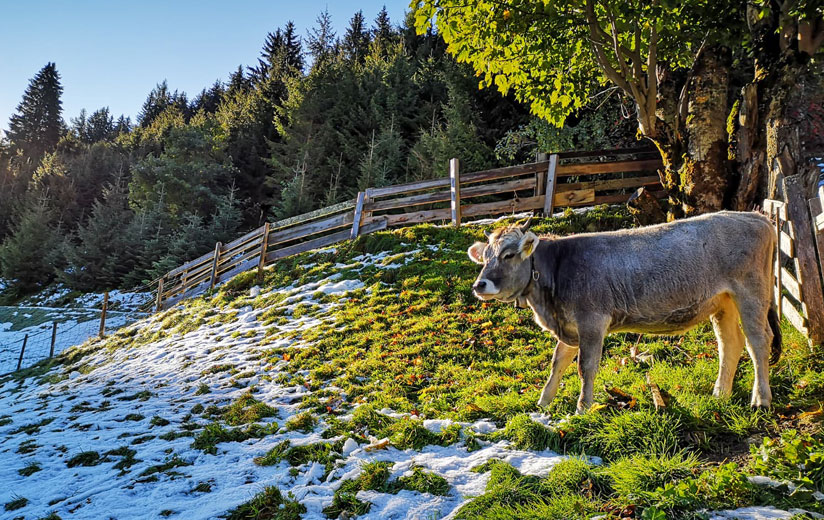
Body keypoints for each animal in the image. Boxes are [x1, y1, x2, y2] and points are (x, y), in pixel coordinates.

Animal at [466, 211, 784, 414]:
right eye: (485, 257)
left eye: (508, 255)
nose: (479, 284)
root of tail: (757, 217)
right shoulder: (570, 326)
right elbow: (557, 363)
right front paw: (543, 403)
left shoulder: (592, 321)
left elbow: (585, 367)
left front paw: (582, 408)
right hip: (723, 302)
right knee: (730, 344)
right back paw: (720, 394)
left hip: (751, 294)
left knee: (758, 341)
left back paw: (760, 399)